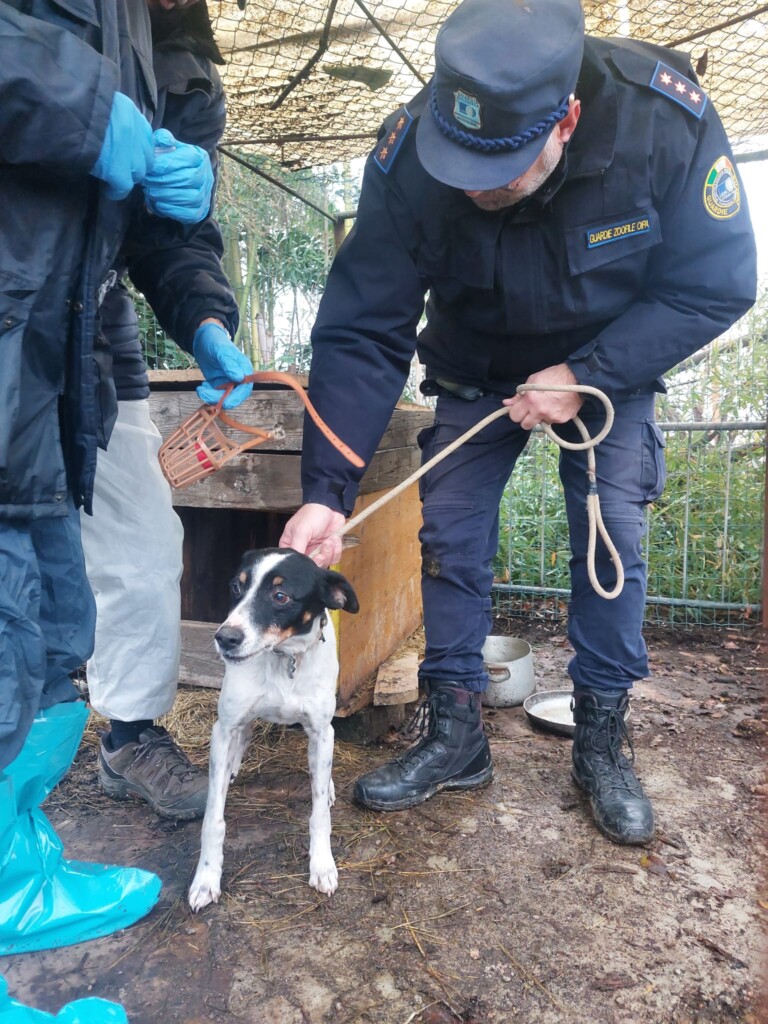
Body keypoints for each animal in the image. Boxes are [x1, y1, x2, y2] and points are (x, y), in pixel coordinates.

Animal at [192, 548, 360, 909]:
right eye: (236, 587)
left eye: (280, 596)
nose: (225, 638)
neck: (283, 658)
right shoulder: (224, 728)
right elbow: (213, 818)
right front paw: (206, 878)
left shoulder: (322, 732)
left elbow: (318, 814)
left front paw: (322, 864)